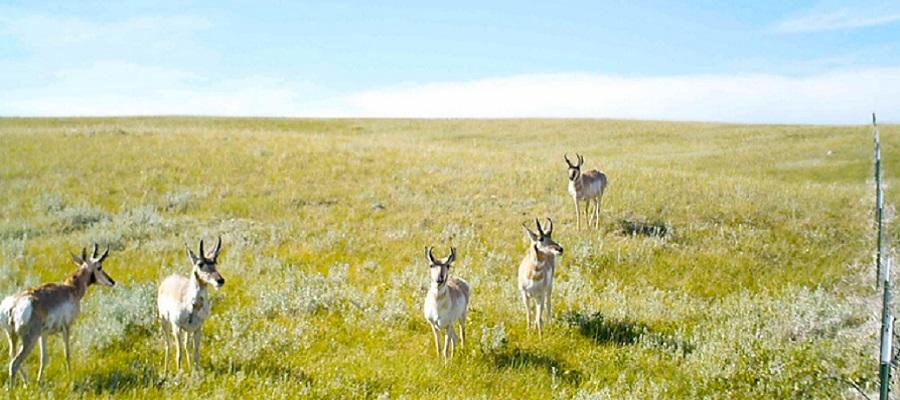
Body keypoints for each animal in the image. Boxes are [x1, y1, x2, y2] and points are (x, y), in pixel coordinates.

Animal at [0, 244, 116, 388]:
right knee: (14, 363)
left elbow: (44, 358)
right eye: (99, 266)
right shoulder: (66, 328)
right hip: (29, 340)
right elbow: (67, 353)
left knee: (12, 356)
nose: (112, 281)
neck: (70, 288)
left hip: (12, 336)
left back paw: (27, 382)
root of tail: (13, 304)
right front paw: (70, 377)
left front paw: (39, 381)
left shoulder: (43, 334)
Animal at [157, 236, 224, 374]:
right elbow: (179, 353)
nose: (220, 280)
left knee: (187, 345)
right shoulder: (176, 328)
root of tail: (168, 279)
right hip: (164, 321)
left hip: (187, 330)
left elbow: (196, 353)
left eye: (215, 262)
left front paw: (196, 372)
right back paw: (166, 371)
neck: (192, 305)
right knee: (168, 344)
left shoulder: (197, 328)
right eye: (200, 264)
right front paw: (179, 373)